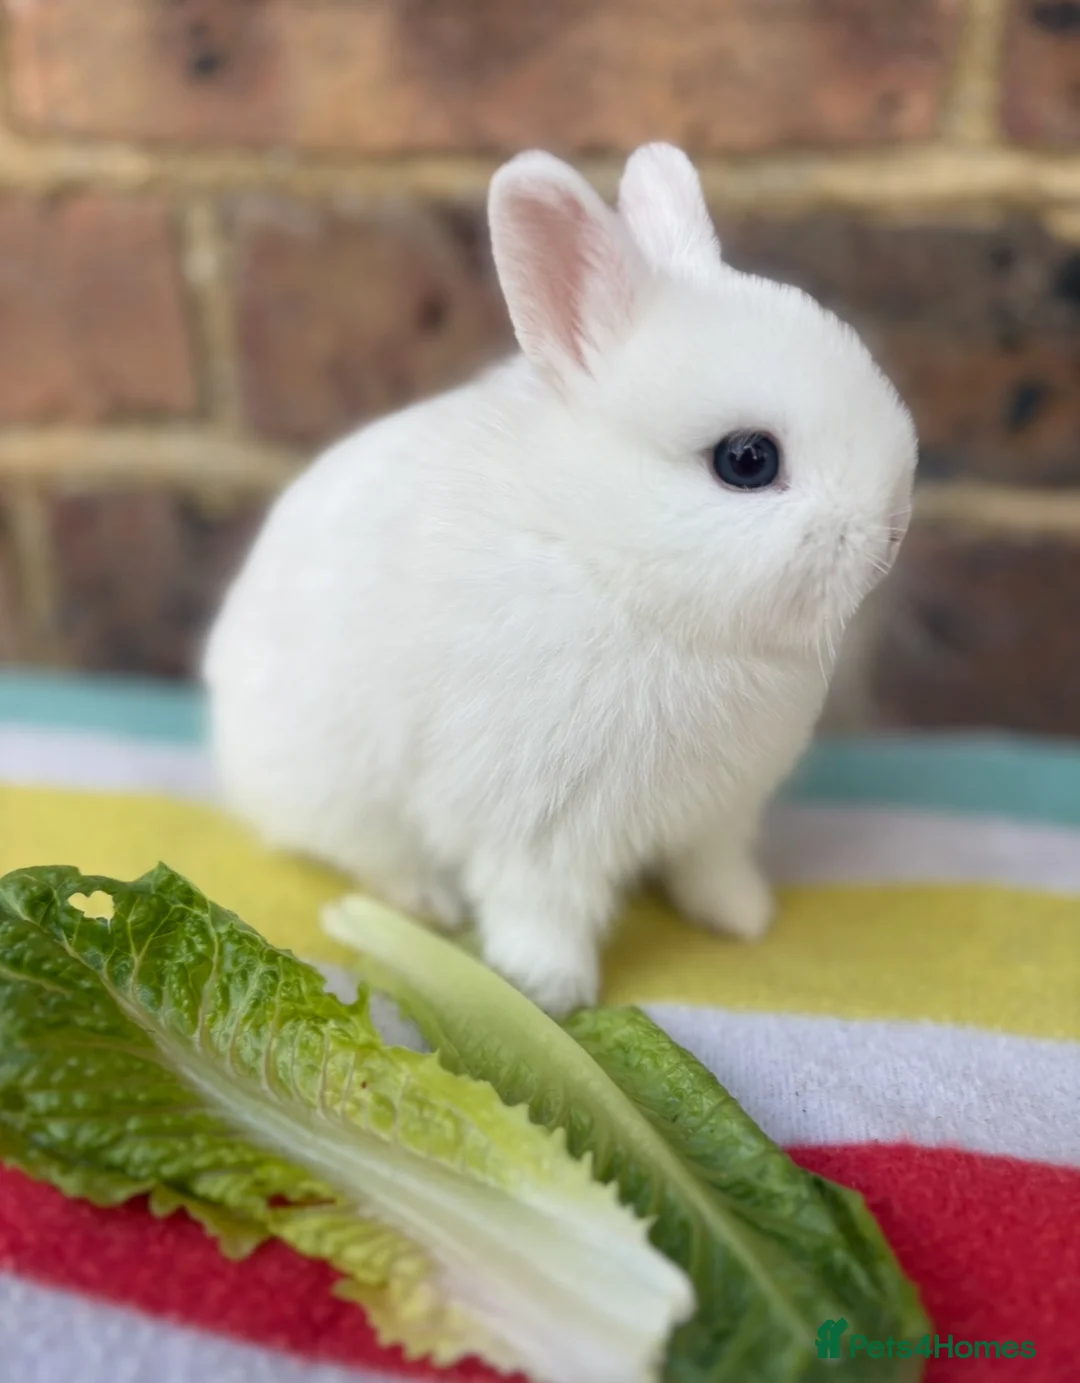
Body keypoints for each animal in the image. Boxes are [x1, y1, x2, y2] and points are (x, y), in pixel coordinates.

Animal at [203, 143, 917, 1017]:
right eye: (747, 459)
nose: (892, 530)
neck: (611, 564)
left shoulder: (719, 812)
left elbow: (710, 869)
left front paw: (744, 919)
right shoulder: (532, 820)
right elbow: (541, 905)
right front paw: (551, 990)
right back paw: (425, 901)